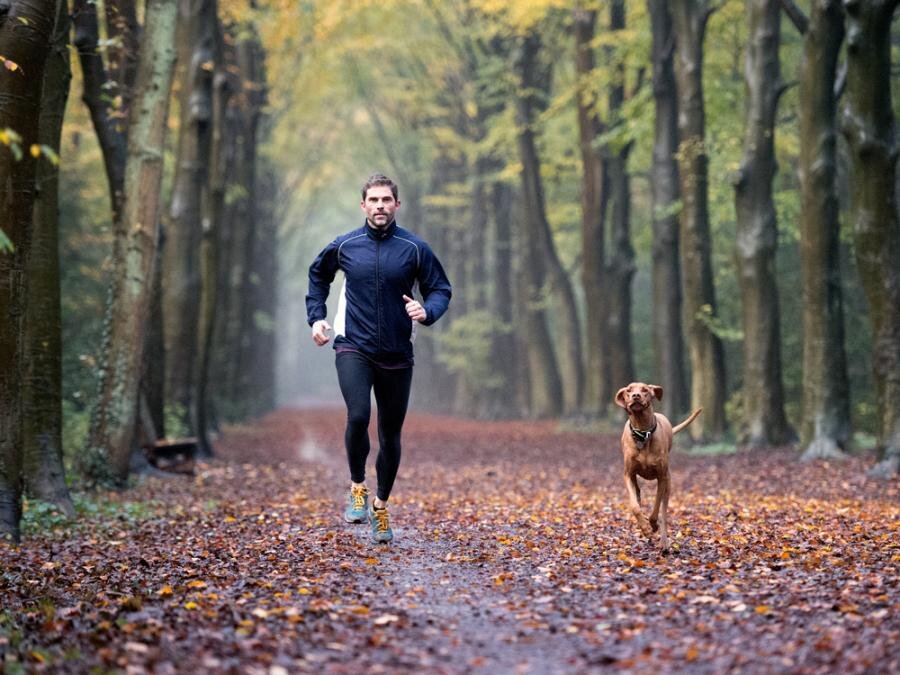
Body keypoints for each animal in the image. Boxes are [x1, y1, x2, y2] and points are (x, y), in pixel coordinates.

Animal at [616, 382, 700, 552]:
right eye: (628, 390)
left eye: (645, 390)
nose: (635, 396)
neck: (643, 432)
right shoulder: (628, 474)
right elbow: (634, 507)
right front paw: (645, 528)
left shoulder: (662, 476)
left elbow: (656, 508)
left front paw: (652, 526)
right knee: (638, 495)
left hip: (668, 483)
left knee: (664, 511)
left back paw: (664, 542)